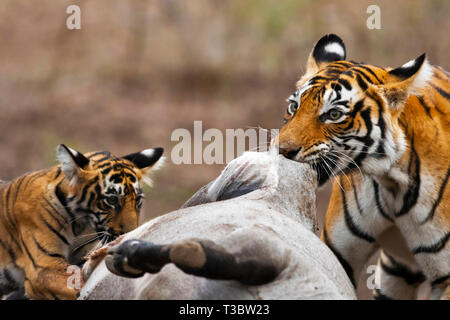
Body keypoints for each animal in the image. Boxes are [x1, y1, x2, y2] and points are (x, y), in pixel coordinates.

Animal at [0, 145, 165, 300]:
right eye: (112, 200)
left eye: (137, 201)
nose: (130, 233)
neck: (80, 224)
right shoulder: (44, 266)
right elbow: (78, 285)